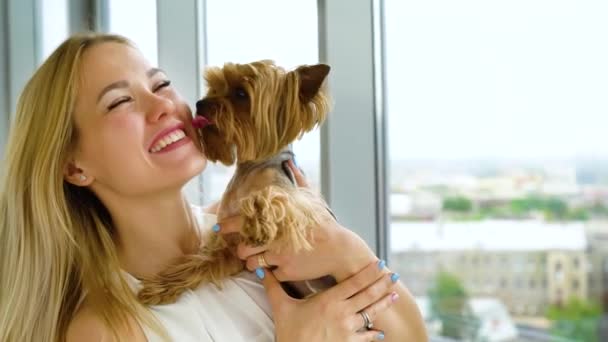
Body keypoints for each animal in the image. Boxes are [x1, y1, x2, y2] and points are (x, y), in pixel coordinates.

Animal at [137, 59, 338, 304]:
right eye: (214, 88)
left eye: (241, 93)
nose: (200, 104)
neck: (249, 170)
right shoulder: (232, 249)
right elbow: (200, 262)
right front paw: (162, 287)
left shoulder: (300, 201)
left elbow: (275, 196)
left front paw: (258, 218)